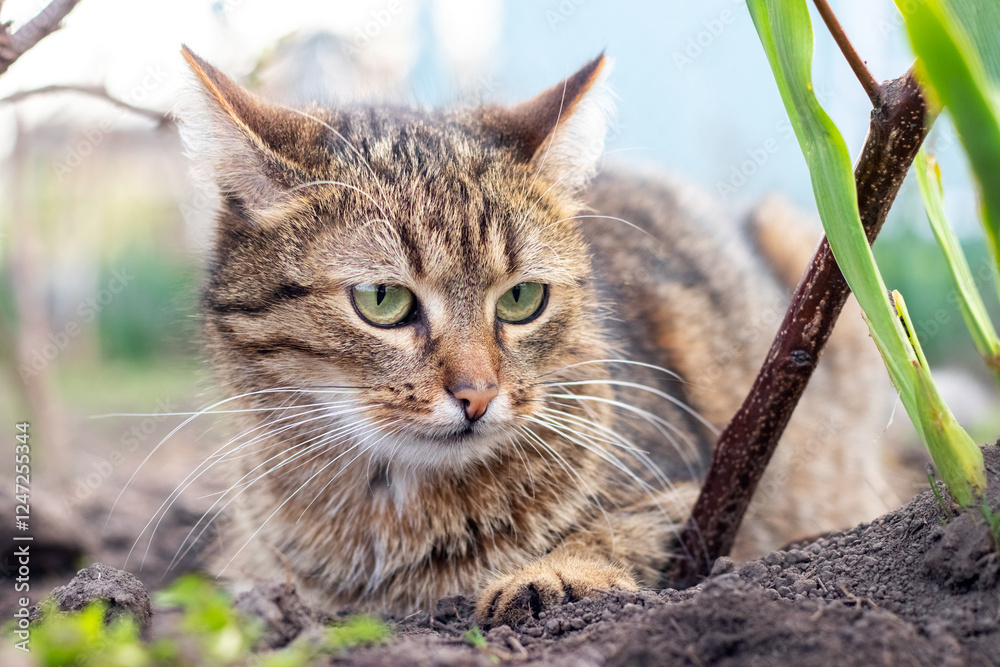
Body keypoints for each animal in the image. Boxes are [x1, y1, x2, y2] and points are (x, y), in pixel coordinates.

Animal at [178, 48, 884, 632]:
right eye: (383, 300)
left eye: (521, 300)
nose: (477, 394)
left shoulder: (715, 491)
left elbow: (619, 530)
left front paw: (554, 573)